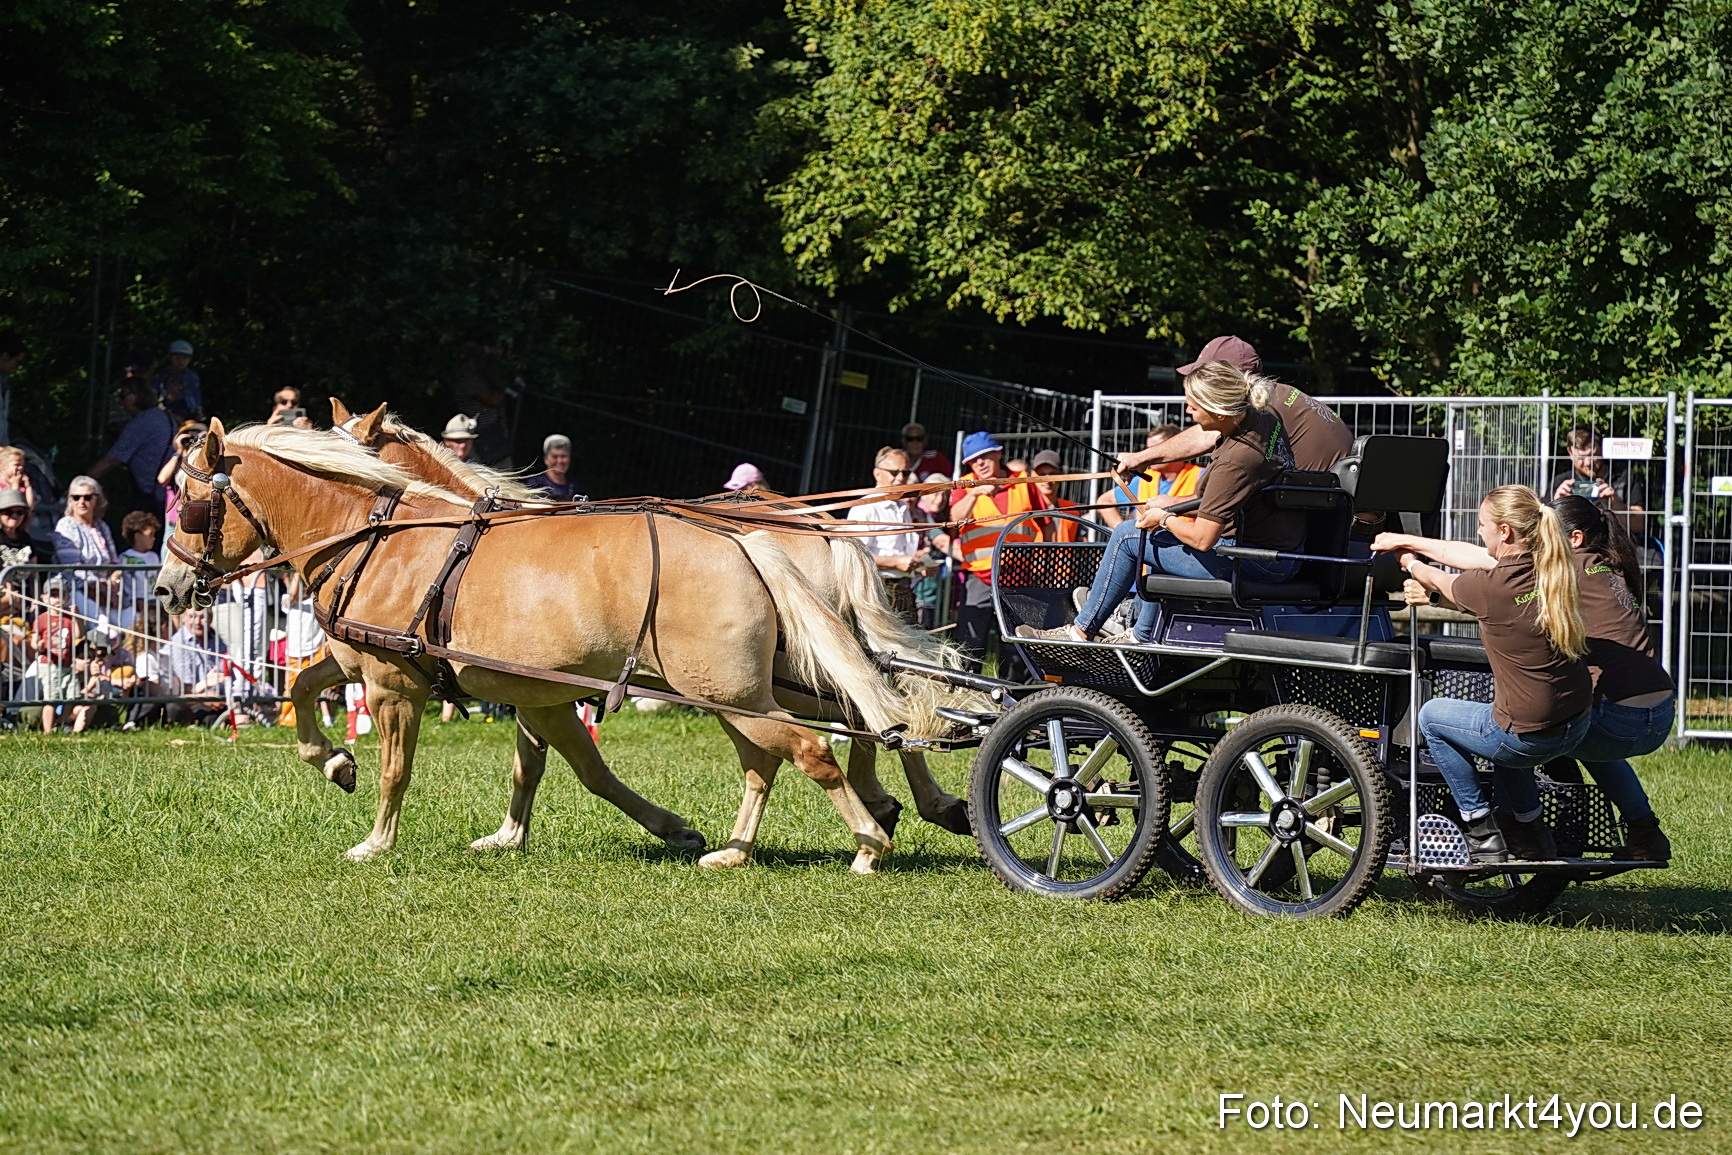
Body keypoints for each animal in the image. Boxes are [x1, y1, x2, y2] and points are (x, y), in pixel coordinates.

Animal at [156, 418, 942, 873]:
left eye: (188, 506)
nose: (165, 588)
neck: (378, 537)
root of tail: (749, 540)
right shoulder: (525, 693)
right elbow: (302, 687)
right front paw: (335, 762)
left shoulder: (392, 681)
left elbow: (397, 770)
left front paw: (376, 841)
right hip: (744, 687)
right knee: (820, 736)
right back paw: (747, 846)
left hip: (733, 689)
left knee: (820, 742)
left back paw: (872, 839)